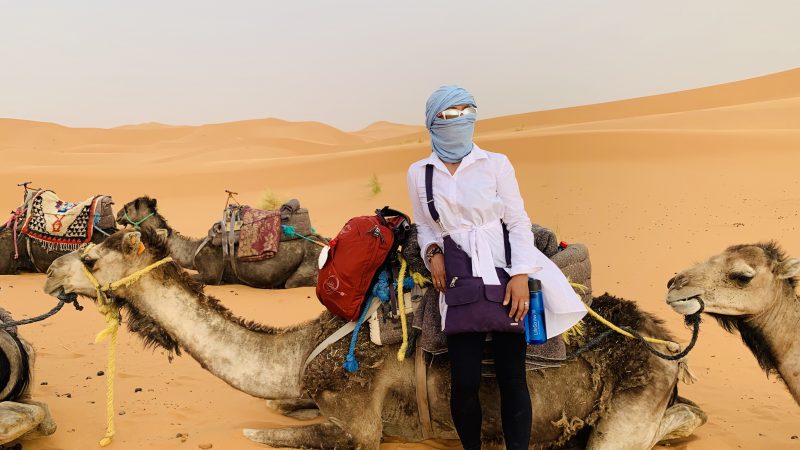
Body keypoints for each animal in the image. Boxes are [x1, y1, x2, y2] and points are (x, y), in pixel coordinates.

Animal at [43, 230, 708, 448]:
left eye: (92, 258)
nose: (50, 272)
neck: (299, 350)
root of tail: (667, 348)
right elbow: (280, 409)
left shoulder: (357, 419)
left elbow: (265, 432)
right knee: (688, 416)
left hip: (632, 400)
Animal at [115, 197, 322, 288]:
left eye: (127, 207)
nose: (117, 215)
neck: (191, 251)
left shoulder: (211, 274)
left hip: (309, 263)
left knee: (294, 282)